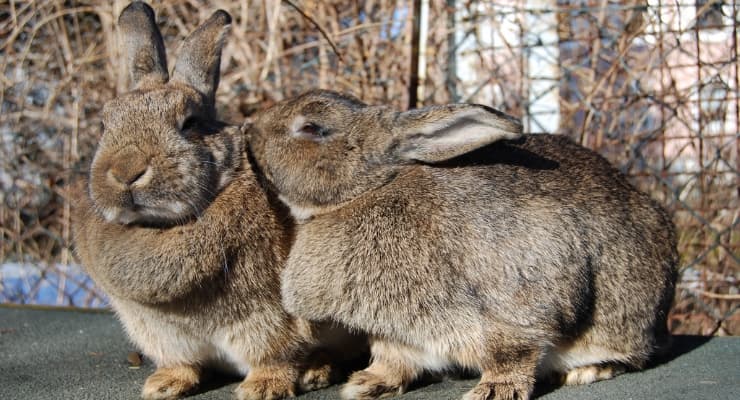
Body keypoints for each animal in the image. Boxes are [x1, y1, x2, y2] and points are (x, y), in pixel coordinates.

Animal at [71, 4, 363, 400]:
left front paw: (263, 388)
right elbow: (183, 362)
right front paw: (164, 384)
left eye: (189, 122)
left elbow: (278, 354)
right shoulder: (162, 333)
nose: (126, 171)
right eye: (105, 123)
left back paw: (317, 371)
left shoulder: (269, 318)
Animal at [245, 89, 678, 400]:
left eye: (312, 128)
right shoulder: (396, 332)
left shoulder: (517, 302)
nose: (249, 129)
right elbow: (393, 359)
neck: (367, 191)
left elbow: (514, 351)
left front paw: (494, 391)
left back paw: (589, 370)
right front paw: (366, 384)